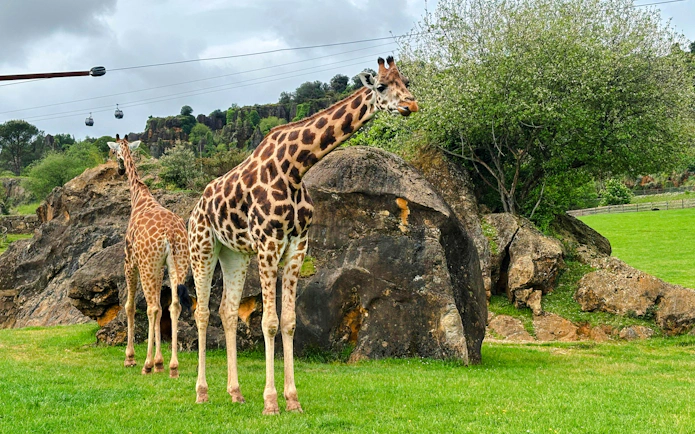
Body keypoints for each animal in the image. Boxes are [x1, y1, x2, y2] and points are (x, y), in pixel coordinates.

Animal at [108, 134, 192, 378]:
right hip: (178, 264)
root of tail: (170, 235)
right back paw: (172, 366)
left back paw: (145, 364)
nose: (119, 170)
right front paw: (159, 362)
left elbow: (129, 306)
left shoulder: (130, 262)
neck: (139, 197)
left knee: (152, 307)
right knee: (173, 306)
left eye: (114, 152)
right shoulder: (160, 266)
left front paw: (132, 358)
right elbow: (162, 306)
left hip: (147, 265)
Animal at [188, 56, 418, 413]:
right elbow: (268, 322)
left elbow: (289, 321)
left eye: (406, 82)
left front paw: (292, 400)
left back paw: (235, 393)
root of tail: (196, 206)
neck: (294, 168)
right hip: (202, 248)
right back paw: (202, 392)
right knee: (201, 311)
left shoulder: (297, 245)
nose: (411, 105)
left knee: (227, 310)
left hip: (235, 254)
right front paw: (270, 402)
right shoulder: (268, 243)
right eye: (381, 86)